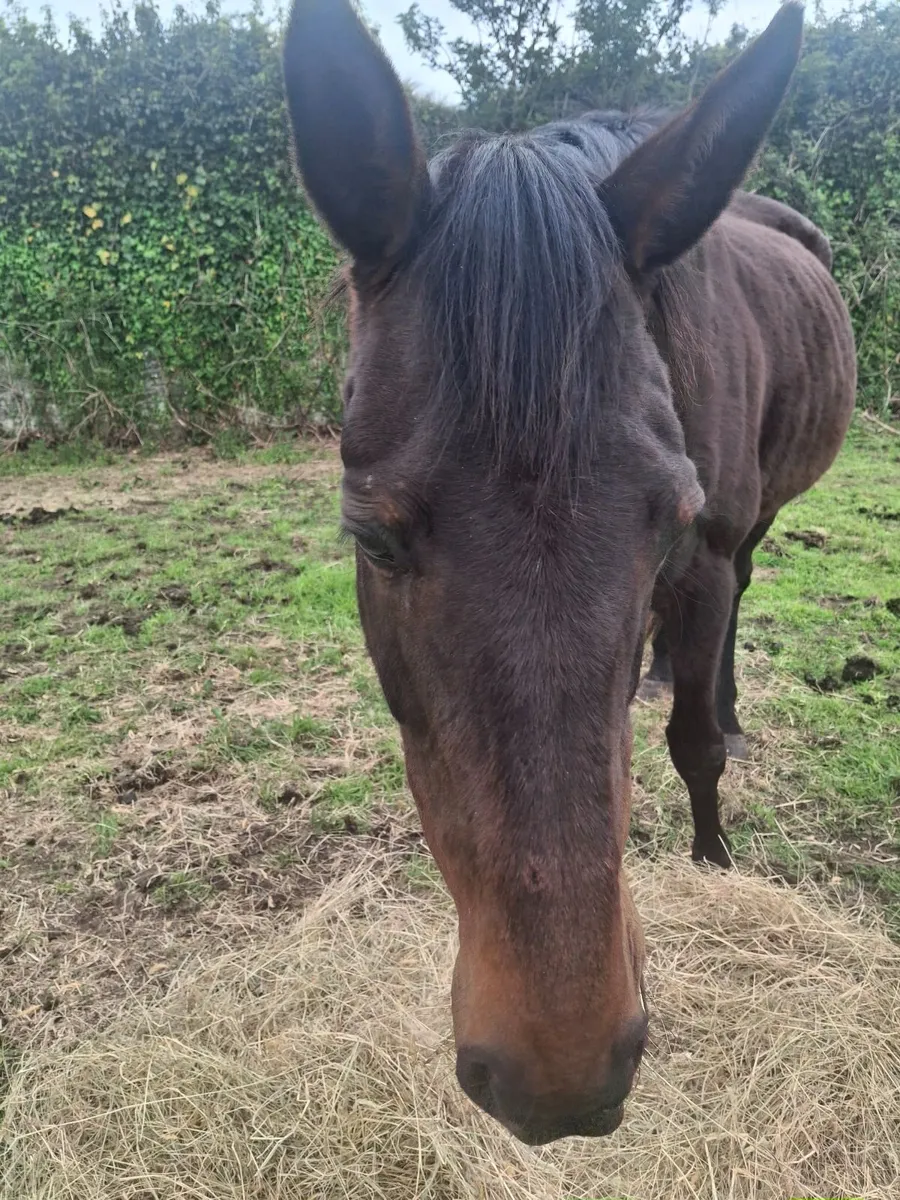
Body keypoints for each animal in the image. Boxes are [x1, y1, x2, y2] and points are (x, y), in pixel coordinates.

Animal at [282, 0, 857, 1146]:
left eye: (665, 524)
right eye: (372, 539)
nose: (559, 1074)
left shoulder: (705, 554)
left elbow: (691, 748)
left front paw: (714, 863)